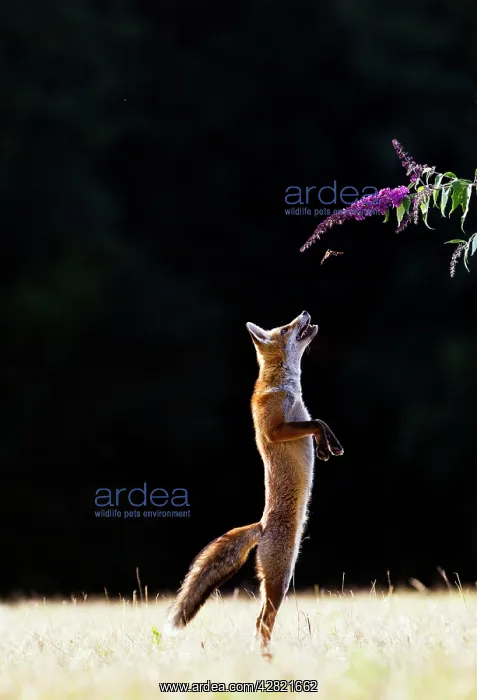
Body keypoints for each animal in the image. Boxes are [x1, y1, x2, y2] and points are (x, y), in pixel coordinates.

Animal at [165, 310, 344, 658]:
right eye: (286, 328)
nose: (305, 313)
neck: (286, 388)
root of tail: (261, 526)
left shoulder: (300, 416)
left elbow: (319, 421)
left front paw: (329, 446)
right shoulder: (276, 429)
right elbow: (315, 422)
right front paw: (325, 445)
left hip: (281, 578)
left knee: (261, 621)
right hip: (280, 580)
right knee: (262, 620)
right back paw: (265, 656)